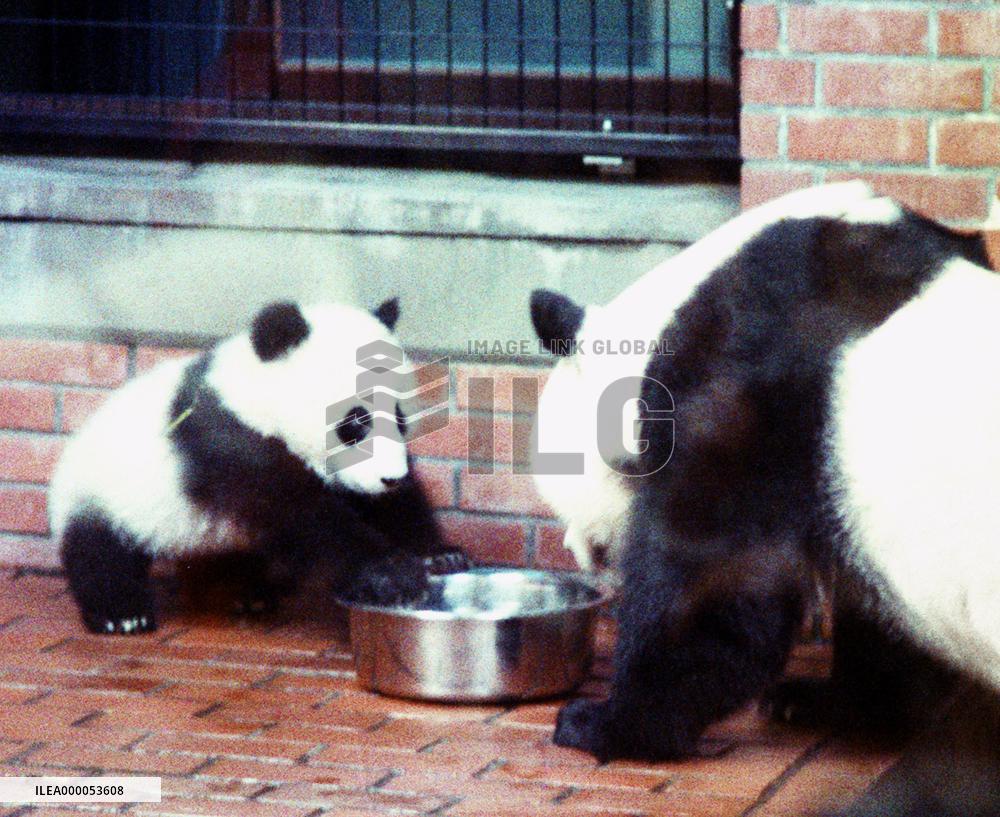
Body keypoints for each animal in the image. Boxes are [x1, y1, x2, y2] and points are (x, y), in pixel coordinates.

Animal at [49, 298, 469, 635]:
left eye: (400, 417)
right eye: (356, 421)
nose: (390, 479)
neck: (256, 399)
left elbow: (385, 505)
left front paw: (439, 555)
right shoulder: (228, 444)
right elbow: (303, 518)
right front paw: (395, 576)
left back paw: (245, 591)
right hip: (103, 491)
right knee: (100, 552)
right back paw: (122, 615)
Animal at [529, 182, 1000, 778]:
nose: (574, 551)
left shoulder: (750, 390)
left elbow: (717, 582)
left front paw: (604, 724)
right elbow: (884, 617)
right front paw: (823, 702)